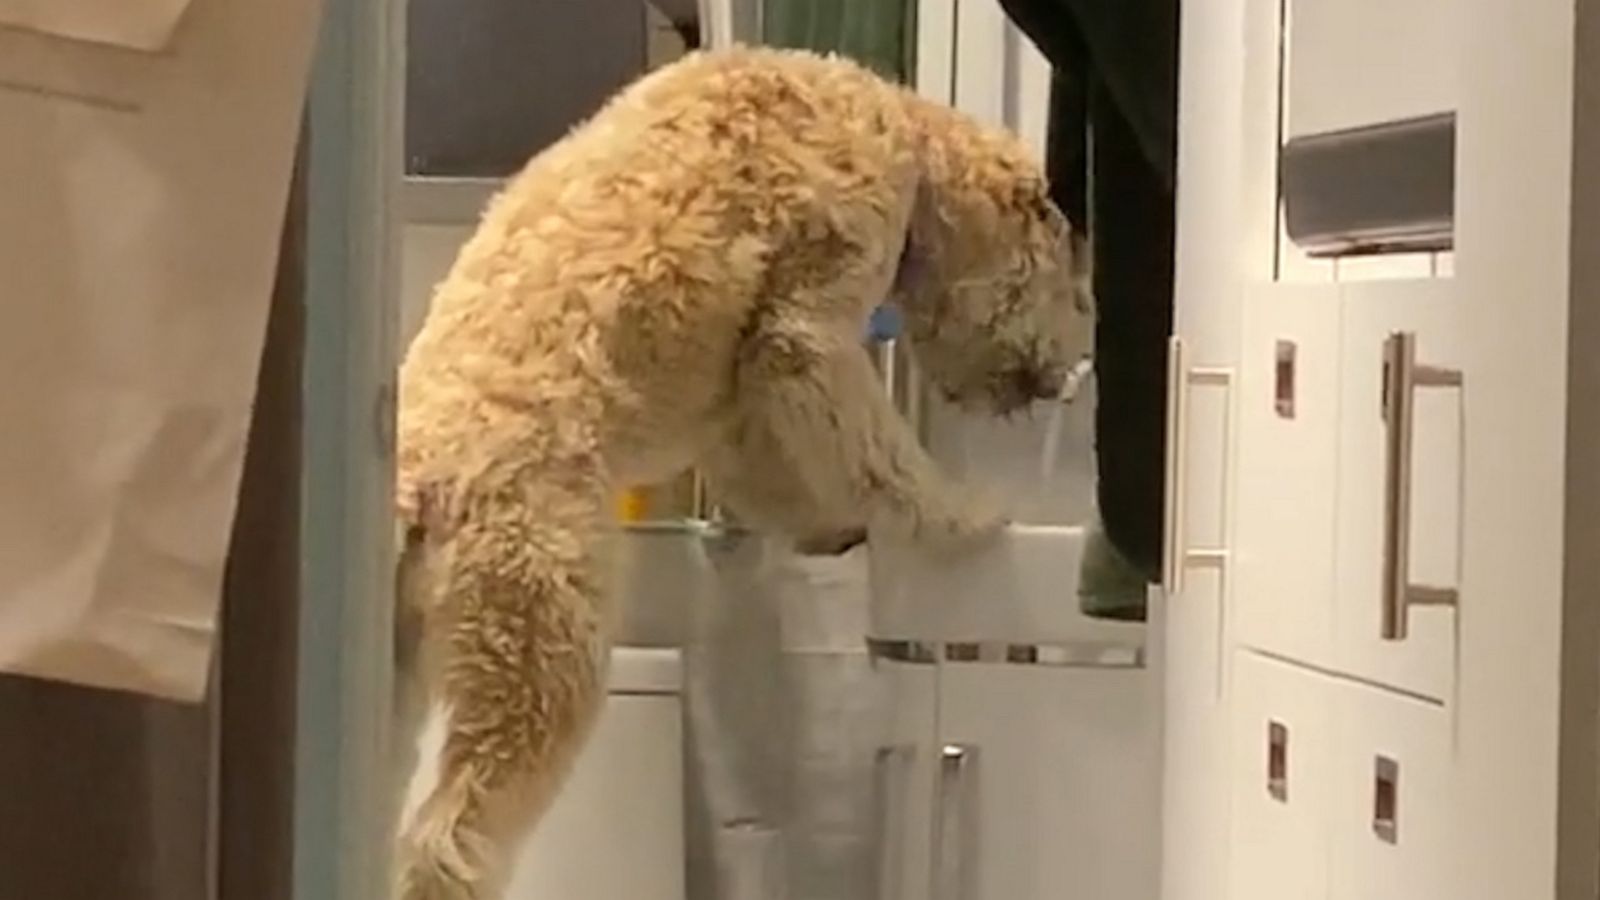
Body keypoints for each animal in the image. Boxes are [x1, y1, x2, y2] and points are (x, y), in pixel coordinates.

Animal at [393, 47, 1094, 896]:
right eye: (1073, 289)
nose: (1063, 372)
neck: (911, 142)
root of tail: (415, 479)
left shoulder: (730, 407)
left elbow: (771, 469)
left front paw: (832, 527)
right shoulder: (811, 326)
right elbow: (878, 451)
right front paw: (956, 512)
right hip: (539, 645)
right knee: (448, 838)